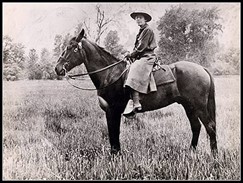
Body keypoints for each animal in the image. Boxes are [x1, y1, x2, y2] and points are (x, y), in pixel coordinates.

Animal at [55, 29, 218, 156]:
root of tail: (202, 68)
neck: (110, 74)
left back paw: (214, 156)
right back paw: (191, 152)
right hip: (189, 106)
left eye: (71, 47)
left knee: (210, 127)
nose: (57, 68)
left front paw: (115, 156)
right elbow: (113, 133)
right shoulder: (110, 111)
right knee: (196, 127)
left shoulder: (113, 110)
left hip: (199, 107)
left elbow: (114, 133)